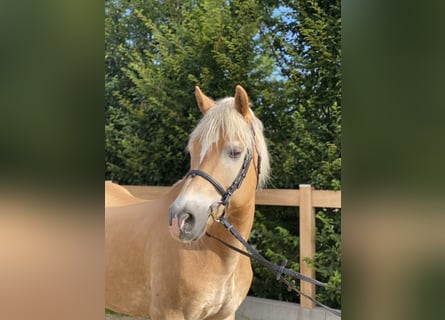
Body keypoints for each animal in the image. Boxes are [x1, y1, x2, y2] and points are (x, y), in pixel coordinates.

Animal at [105, 85, 268, 320]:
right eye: (192, 151)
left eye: (235, 152)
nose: (180, 219)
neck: (218, 255)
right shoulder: (169, 313)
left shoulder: (225, 315)